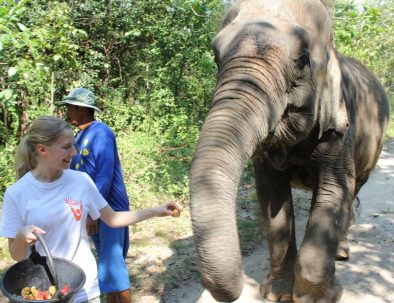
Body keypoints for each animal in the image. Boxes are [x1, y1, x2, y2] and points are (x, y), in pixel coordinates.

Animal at [189, 0, 390, 303]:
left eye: (303, 60)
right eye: (215, 55)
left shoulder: (342, 129)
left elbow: (335, 190)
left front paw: (319, 297)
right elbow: (272, 199)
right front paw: (277, 294)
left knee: (355, 187)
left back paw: (342, 252)